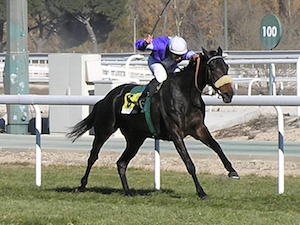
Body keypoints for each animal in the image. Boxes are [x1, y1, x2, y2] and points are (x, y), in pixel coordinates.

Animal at [67, 47, 239, 199]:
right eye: (212, 67)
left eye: (226, 67)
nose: (228, 94)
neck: (186, 95)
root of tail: (106, 98)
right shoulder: (176, 133)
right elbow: (189, 163)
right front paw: (201, 192)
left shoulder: (199, 129)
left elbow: (217, 146)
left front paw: (232, 171)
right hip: (105, 129)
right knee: (93, 156)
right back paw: (81, 185)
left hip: (135, 138)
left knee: (121, 163)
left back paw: (128, 192)